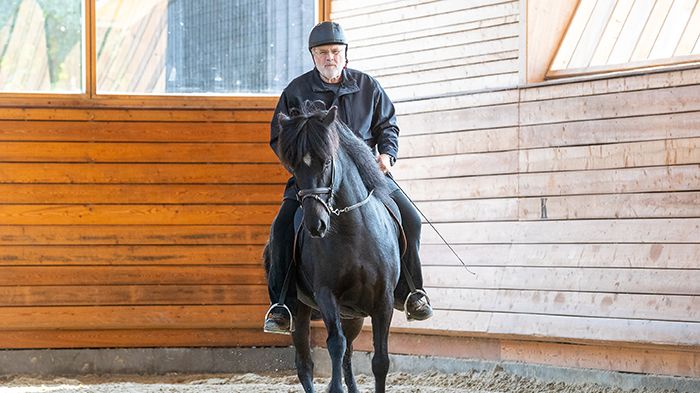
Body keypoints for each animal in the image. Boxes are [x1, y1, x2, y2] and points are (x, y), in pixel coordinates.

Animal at [266, 102, 402, 390]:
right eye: (294, 167)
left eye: (326, 162)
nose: (315, 224)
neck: (354, 232)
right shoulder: (326, 294)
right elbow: (335, 345)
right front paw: (335, 388)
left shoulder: (383, 301)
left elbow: (380, 360)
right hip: (300, 311)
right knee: (306, 364)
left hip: (354, 315)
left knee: (349, 355)